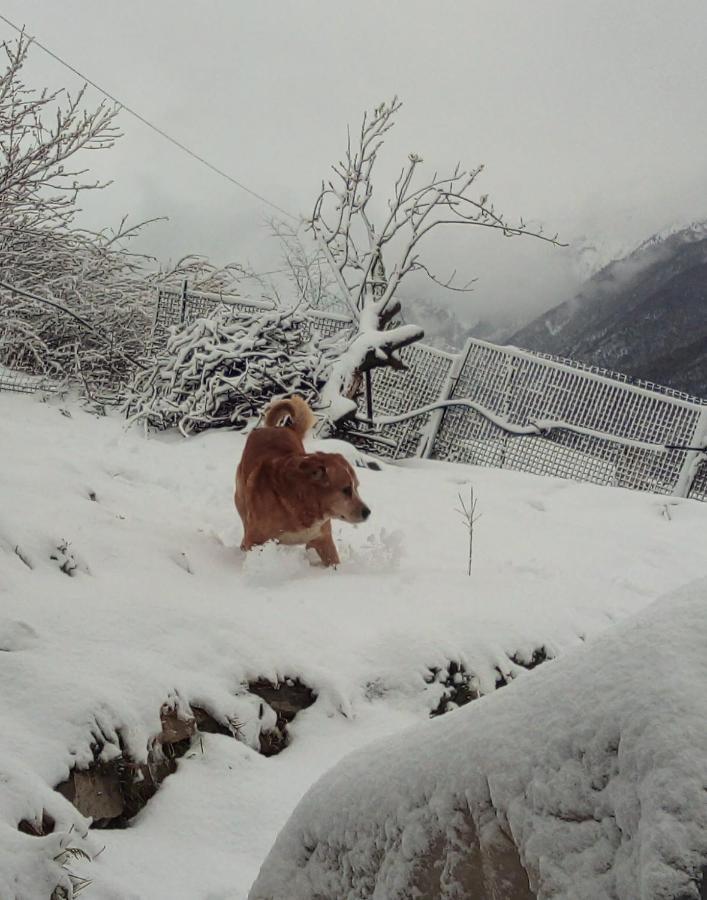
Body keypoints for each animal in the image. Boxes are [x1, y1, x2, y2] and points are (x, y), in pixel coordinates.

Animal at [236, 398, 374, 568]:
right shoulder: (255, 540)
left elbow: (333, 561)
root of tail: (275, 428)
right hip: (241, 502)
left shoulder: (323, 539)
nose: (367, 512)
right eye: (346, 489)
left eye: (356, 487)